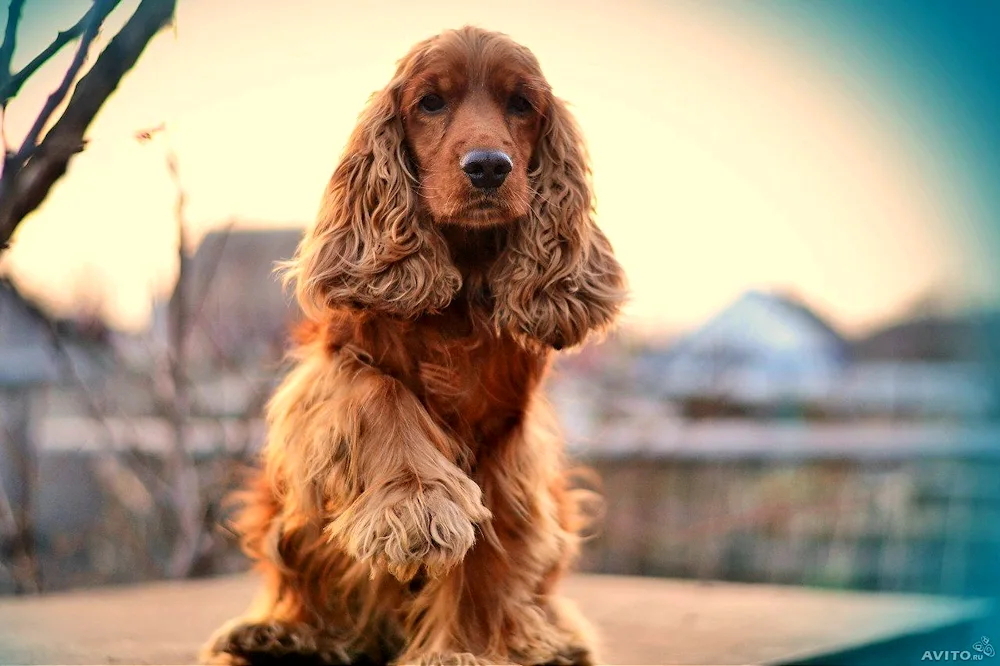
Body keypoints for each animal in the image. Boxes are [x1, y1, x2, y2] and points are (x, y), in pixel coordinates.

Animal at [201, 24, 624, 664]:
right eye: (430, 102)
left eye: (522, 104)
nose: (488, 167)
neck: (463, 279)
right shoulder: (328, 370)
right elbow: (379, 392)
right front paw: (417, 502)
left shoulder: (505, 442)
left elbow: (486, 553)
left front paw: (460, 651)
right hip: (283, 512)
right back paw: (282, 631)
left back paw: (549, 640)